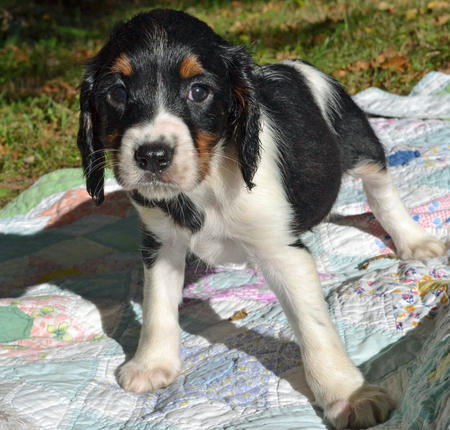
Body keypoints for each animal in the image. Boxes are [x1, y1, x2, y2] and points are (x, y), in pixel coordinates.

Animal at [77, 8, 446, 428]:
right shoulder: (161, 243)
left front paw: (347, 394)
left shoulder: (283, 253)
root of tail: (298, 64)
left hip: (361, 145)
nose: (152, 156)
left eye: (199, 91)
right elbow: (157, 304)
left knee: (382, 193)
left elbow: (314, 327)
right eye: (117, 93)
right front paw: (151, 363)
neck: (206, 185)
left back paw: (414, 240)